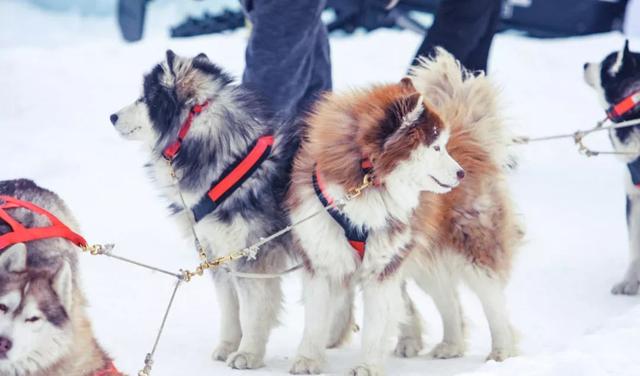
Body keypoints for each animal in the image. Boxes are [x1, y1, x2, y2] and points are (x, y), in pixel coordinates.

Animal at [284, 48, 520, 374]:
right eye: (436, 147)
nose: (460, 174)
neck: (366, 184)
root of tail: (472, 138)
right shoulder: (322, 259)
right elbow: (316, 320)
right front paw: (307, 360)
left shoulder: (383, 267)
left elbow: (375, 327)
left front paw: (367, 366)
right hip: (424, 259)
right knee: (449, 299)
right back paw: (451, 345)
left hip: (473, 250)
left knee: (494, 304)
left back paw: (502, 353)